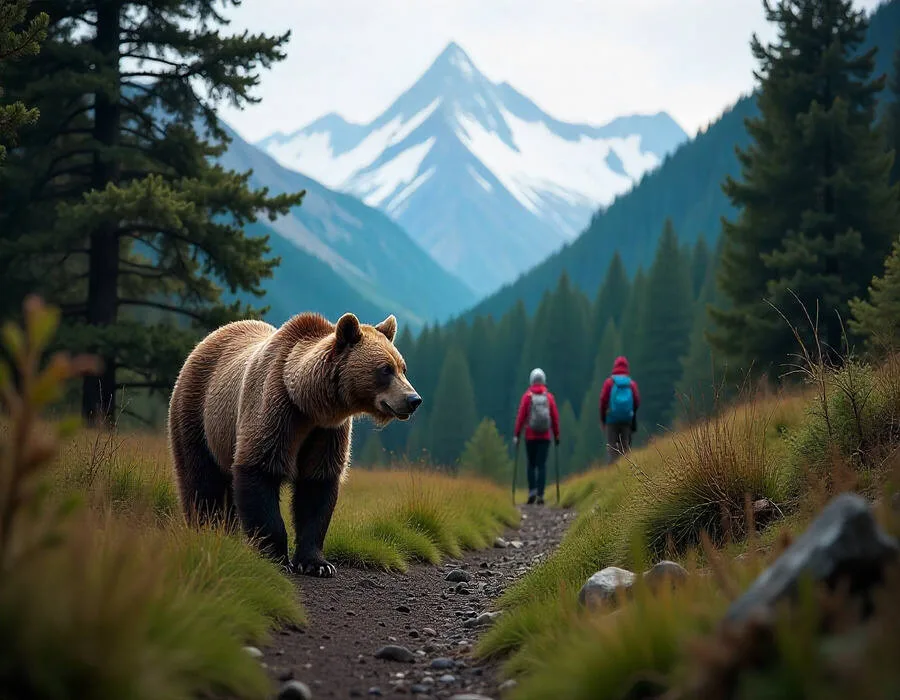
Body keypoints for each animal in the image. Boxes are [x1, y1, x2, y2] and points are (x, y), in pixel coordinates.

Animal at [166, 311, 422, 577]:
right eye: (385, 369)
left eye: (403, 368)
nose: (413, 399)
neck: (308, 405)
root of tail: (208, 338)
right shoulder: (275, 412)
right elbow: (259, 472)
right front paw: (276, 556)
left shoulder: (326, 433)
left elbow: (316, 489)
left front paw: (317, 563)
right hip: (198, 415)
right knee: (201, 480)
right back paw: (205, 531)